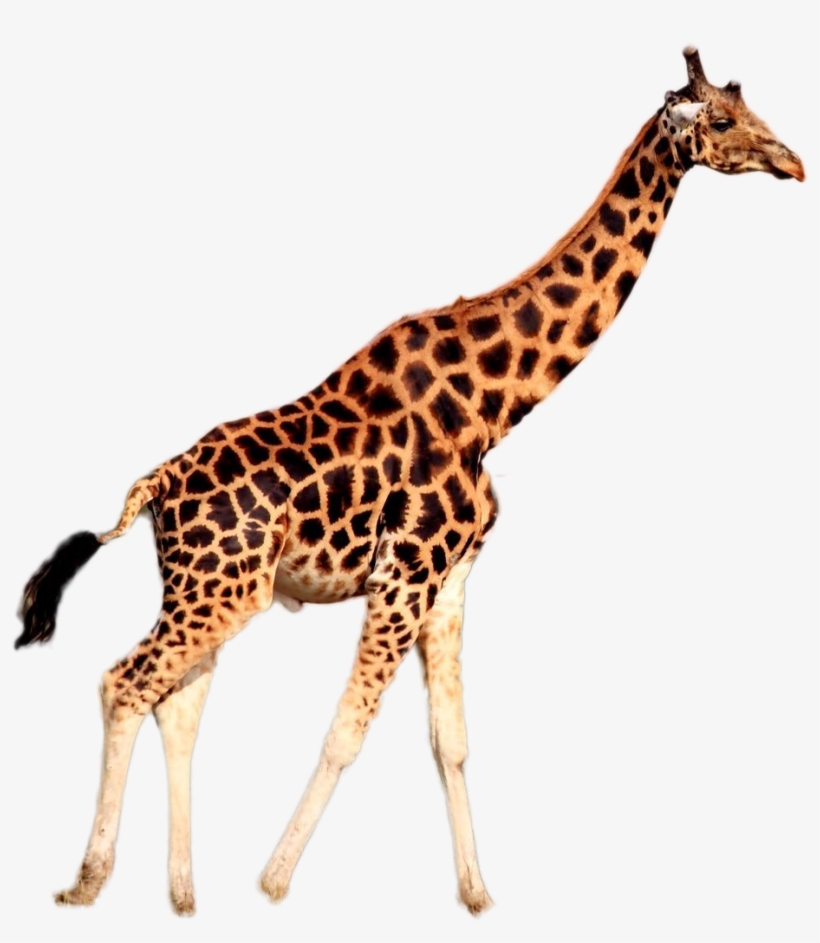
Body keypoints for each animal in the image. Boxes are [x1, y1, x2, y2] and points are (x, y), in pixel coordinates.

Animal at [16, 48, 803, 916]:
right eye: (724, 121)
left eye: (751, 111)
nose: (793, 164)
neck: (498, 404)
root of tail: (155, 485)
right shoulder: (406, 569)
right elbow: (347, 728)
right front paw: (275, 880)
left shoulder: (452, 574)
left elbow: (449, 738)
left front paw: (478, 893)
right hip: (220, 590)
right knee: (125, 682)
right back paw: (87, 881)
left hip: (211, 588)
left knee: (178, 703)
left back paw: (185, 893)